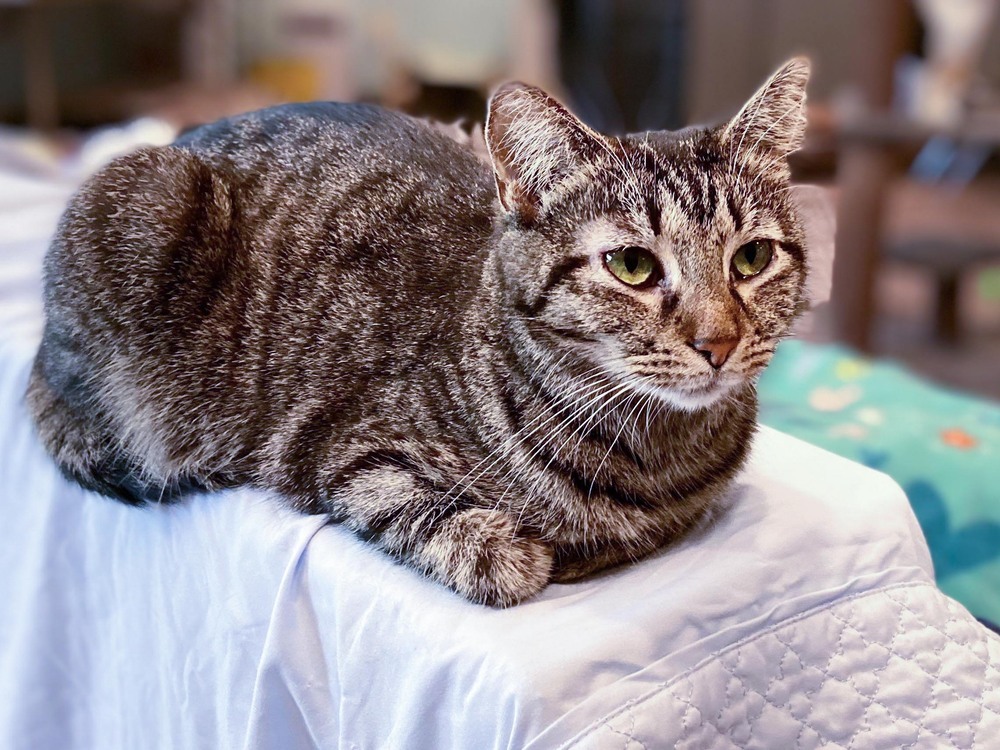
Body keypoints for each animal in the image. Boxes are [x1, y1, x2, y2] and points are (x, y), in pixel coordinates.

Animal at [29, 60, 812, 612]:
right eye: (632, 266)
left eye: (751, 258)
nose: (718, 343)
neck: (658, 455)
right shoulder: (349, 455)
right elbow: (489, 551)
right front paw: (527, 550)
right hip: (144, 206)